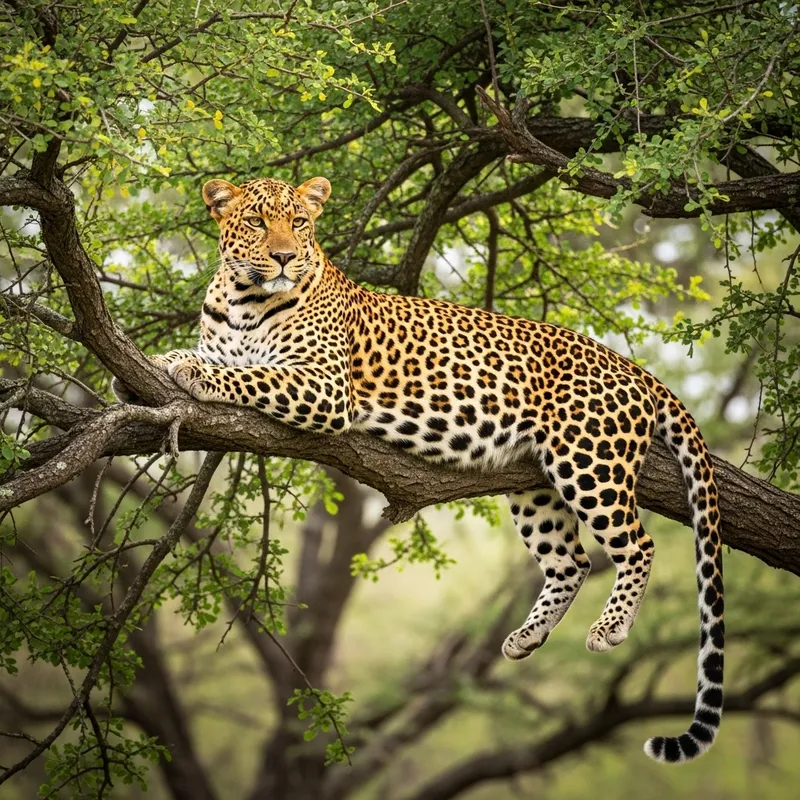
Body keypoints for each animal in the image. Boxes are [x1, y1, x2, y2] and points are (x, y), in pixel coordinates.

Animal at [113, 175, 724, 764]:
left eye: (301, 222)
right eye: (258, 222)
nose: (285, 257)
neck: (243, 299)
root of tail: (631, 366)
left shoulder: (322, 385)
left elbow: (247, 376)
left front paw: (191, 372)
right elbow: (208, 357)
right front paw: (153, 368)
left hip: (589, 461)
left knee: (638, 544)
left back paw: (610, 626)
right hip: (538, 487)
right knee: (570, 561)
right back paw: (525, 638)